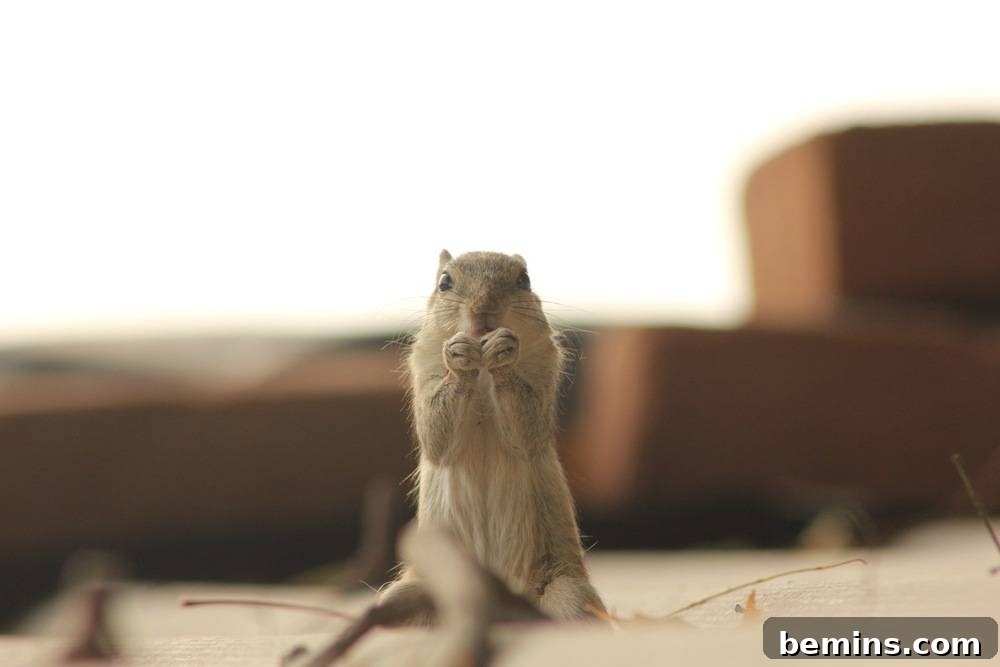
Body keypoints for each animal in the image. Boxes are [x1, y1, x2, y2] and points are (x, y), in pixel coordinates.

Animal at [379, 249, 604, 621]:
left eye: (524, 279)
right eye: (445, 282)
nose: (482, 308)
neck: (483, 373)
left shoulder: (545, 371)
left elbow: (529, 432)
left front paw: (504, 353)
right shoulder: (424, 370)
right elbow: (435, 437)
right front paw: (458, 357)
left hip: (569, 594)